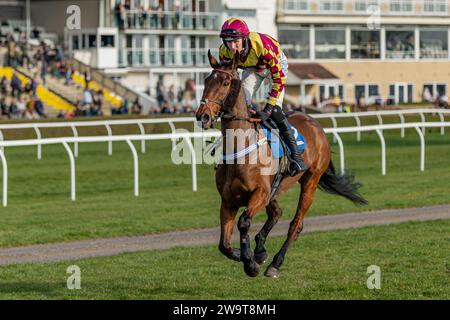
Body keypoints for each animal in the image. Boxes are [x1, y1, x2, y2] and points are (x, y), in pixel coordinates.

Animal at [195, 50, 368, 278]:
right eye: (206, 80)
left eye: (225, 82)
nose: (203, 115)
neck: (241, 148)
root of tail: (316, 125)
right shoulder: (228, 200)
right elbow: (224, 245)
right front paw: (246, 255)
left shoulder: (259, 193)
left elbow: (244, 223)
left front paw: (250, 263)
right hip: (275, 189)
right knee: (276, 212)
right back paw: (260, 250)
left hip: (310, 181)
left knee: (296, 224)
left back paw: (275, 263)